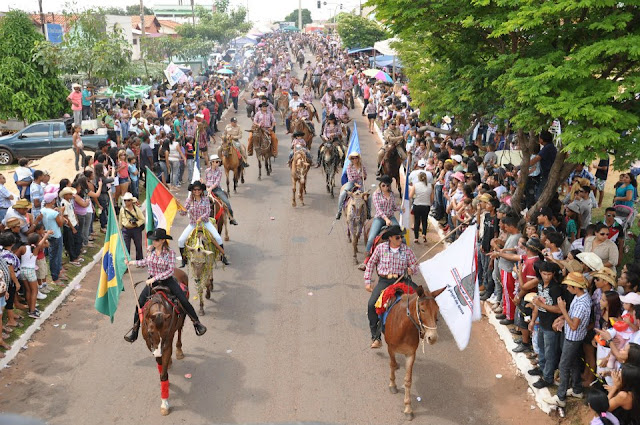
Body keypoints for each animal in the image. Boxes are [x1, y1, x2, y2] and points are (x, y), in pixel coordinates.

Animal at [382, 284, 442, 420]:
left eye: (437, 309)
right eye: (423, 310)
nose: (432, 337)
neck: (403, 327)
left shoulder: (411, 354)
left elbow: (408, 381)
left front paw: (408, 408)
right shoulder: (390, 348)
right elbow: (392, 364)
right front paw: (392, 385)